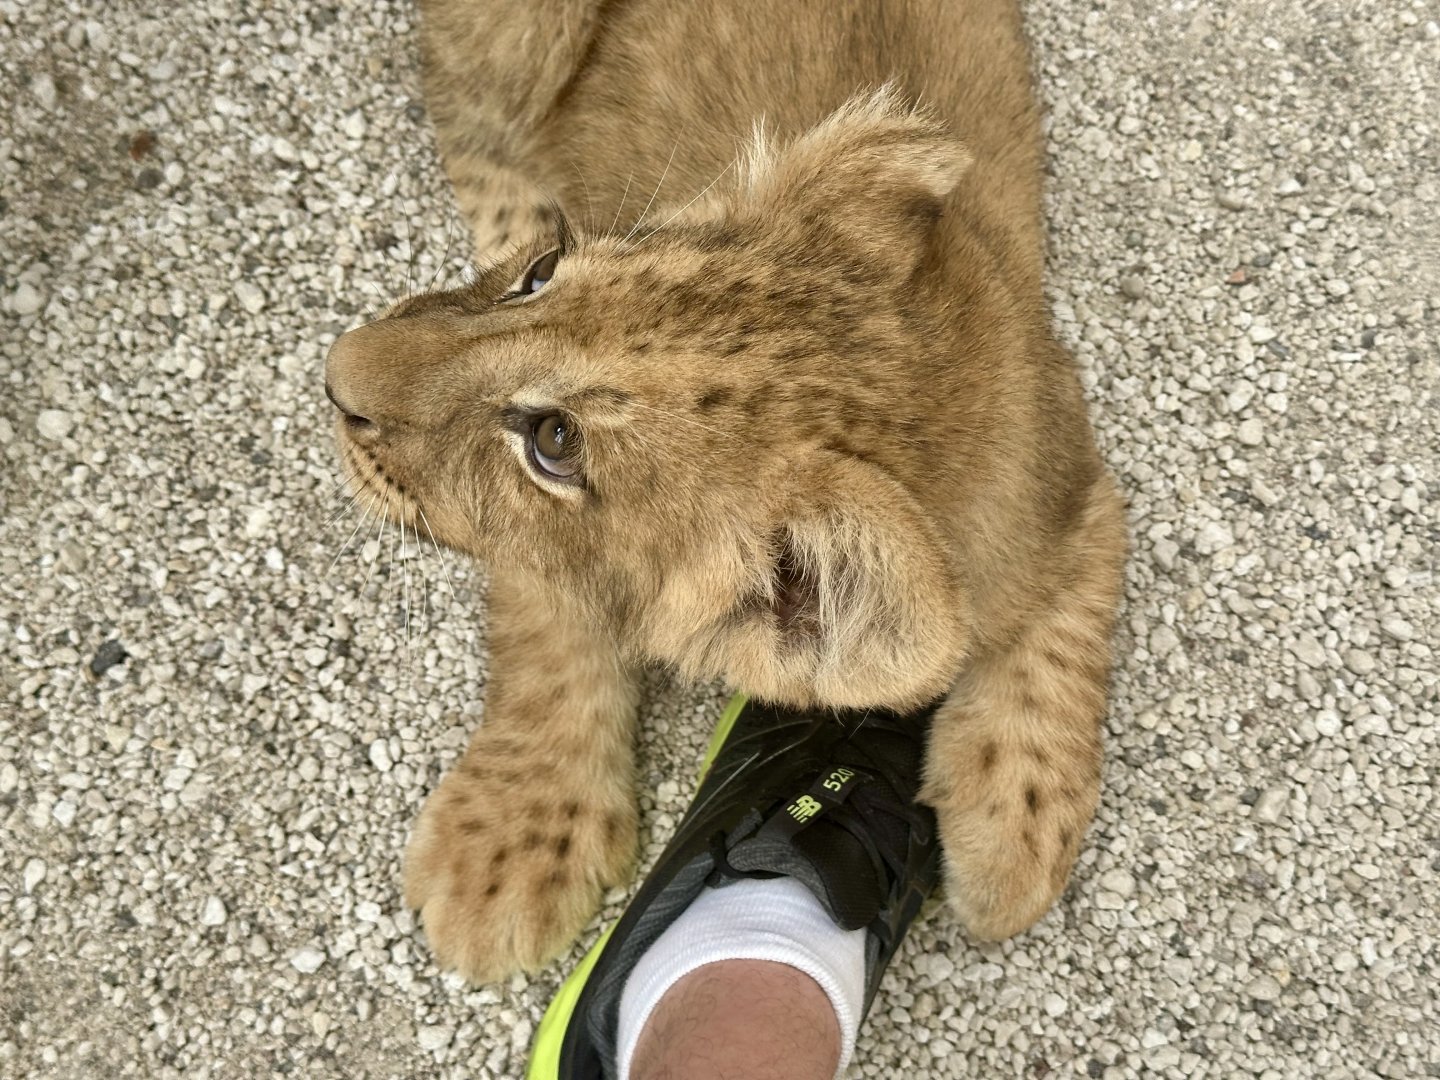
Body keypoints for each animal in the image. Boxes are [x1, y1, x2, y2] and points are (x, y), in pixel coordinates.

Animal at [324, 0, 1128, 982]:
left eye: (555, 443)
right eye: (541, 274)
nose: (334, 373)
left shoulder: (1074, 495)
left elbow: (1061, 640)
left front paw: (1014, 829)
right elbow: (553, 642)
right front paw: (511, 843)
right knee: (467, 114)